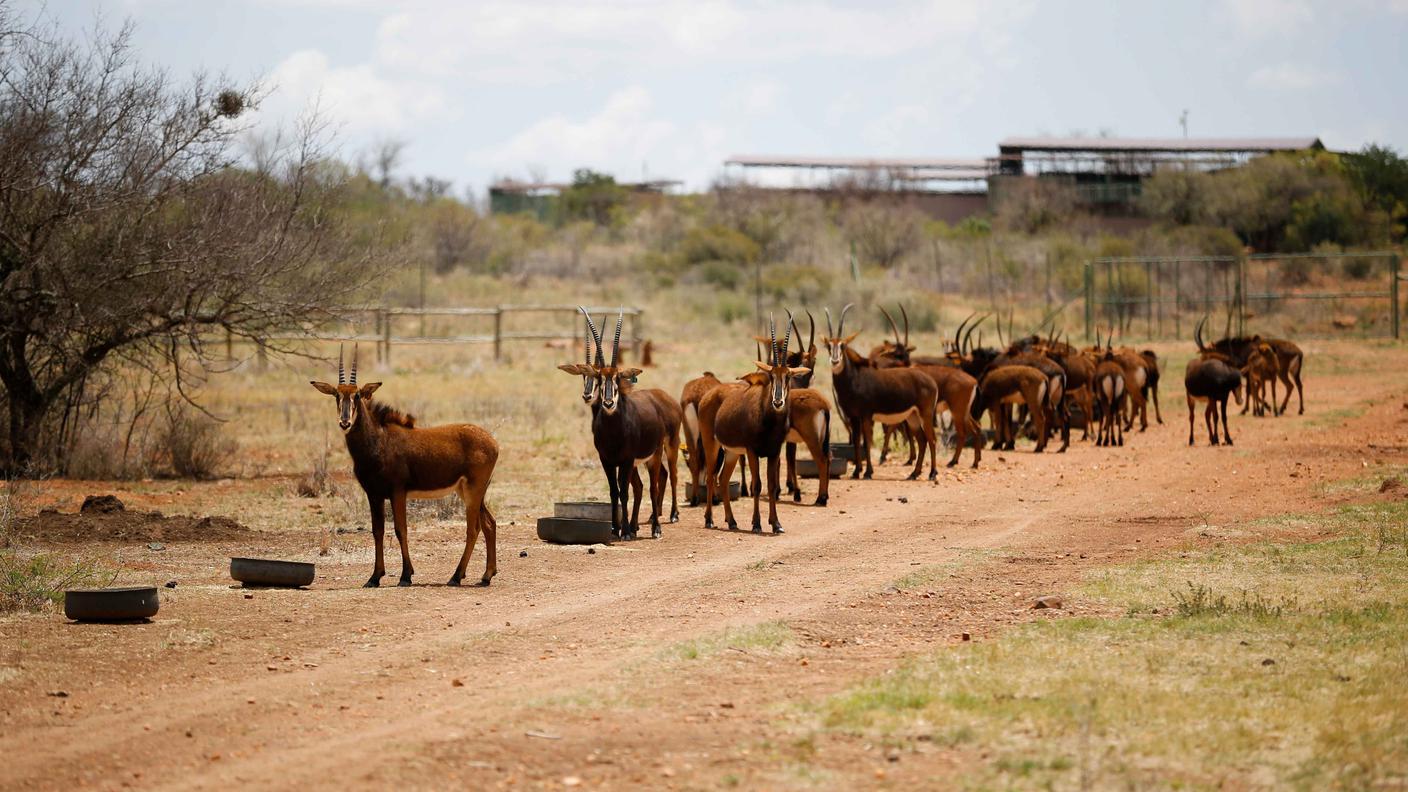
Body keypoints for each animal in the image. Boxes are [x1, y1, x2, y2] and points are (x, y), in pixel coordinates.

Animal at [309, 345, 501, 586]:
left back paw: (456, 576)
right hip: (469, 491)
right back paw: (486, 575)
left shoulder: (397, 492)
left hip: (473, 491)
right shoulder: (374, 494)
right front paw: (374, 577)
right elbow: (377, 531)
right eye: (336, 394)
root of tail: (493, 442)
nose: (345, 422)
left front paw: (405, 575)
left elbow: (401, 529)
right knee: (489, 524)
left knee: (473, 529)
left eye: (357, 395)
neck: (378, 441)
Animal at [560, 308, 681, 535]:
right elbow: (614, 492)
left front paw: (624, 531)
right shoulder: (607, 460)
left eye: (617, 378)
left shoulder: (626, 460)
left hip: (664, 449)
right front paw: (616, 528)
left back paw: (661, 523)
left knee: (661, 481)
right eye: (596, 377)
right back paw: (639, 524)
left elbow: (625, 492)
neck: (613, 431)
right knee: (646, 484)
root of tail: (664, 399)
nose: (607, 402)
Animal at [822, 301, 940, 479]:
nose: (835, 361)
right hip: (912, 416)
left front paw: (868, 472)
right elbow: (857, 443)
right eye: (829, 346)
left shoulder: (866, 416)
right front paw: (856, 471)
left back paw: (932, 473)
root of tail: (931, 381)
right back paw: (914, 473)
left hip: (925, 414)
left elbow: (867, 443)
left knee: (931, 439)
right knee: (922, 440)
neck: (854, 378)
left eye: (842, 345)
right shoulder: (854, 417)